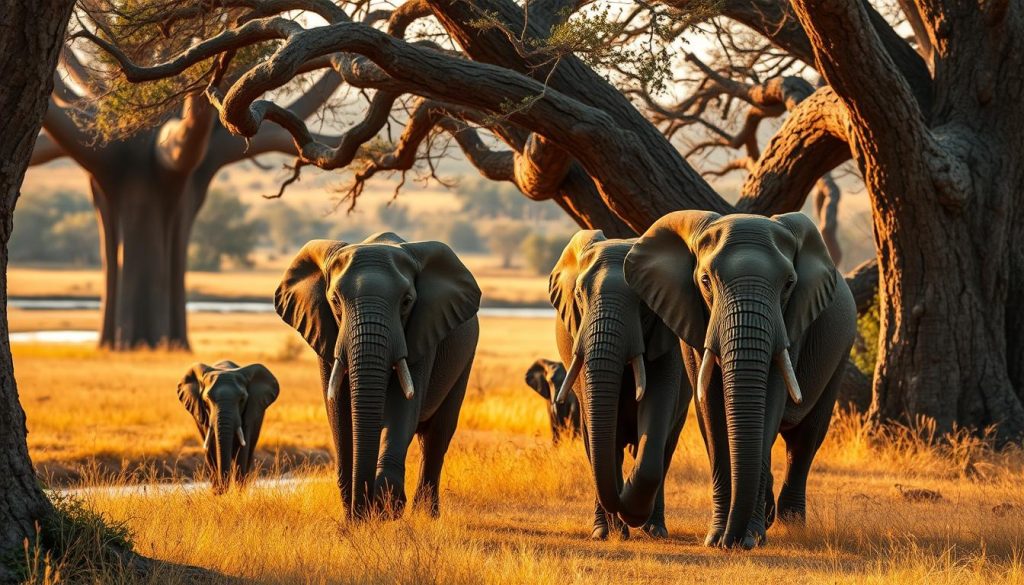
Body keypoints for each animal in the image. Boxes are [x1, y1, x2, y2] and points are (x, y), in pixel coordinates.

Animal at [176, 361, 280, 493]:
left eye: (242, 399)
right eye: (206, 400)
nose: (223, 490)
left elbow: (242, 450)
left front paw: (239, 494)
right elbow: (212, 449)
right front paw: (218, 494)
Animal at [275, 232, 480, 519]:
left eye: (407, 302)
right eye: (335, 301)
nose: (364, 509)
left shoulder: (422, 332)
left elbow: (403, 407)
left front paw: (386, 506)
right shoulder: (326, 334)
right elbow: (338, 411)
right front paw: (354, 516)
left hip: (465, 357)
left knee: (437, 436)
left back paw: (426, 515)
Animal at [550, 230, 690, 540]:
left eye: (644, 303)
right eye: (579, 296)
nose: (622, 495)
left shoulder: (668, 334)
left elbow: (658, 402)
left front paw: (632, 509)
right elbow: (602, 439)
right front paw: (612, 530)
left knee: (666, 445)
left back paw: (654, 529)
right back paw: (605, 531)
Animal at [624, 211, 857, 549]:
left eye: (789, 284)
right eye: (705, 281)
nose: (732, 542)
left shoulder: (791, 322)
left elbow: (770, 403)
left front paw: (750, 538)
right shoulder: (693, 321)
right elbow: (710, 410)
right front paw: (715, 538)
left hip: (841, 351)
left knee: (804, 439)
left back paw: (791, 525)